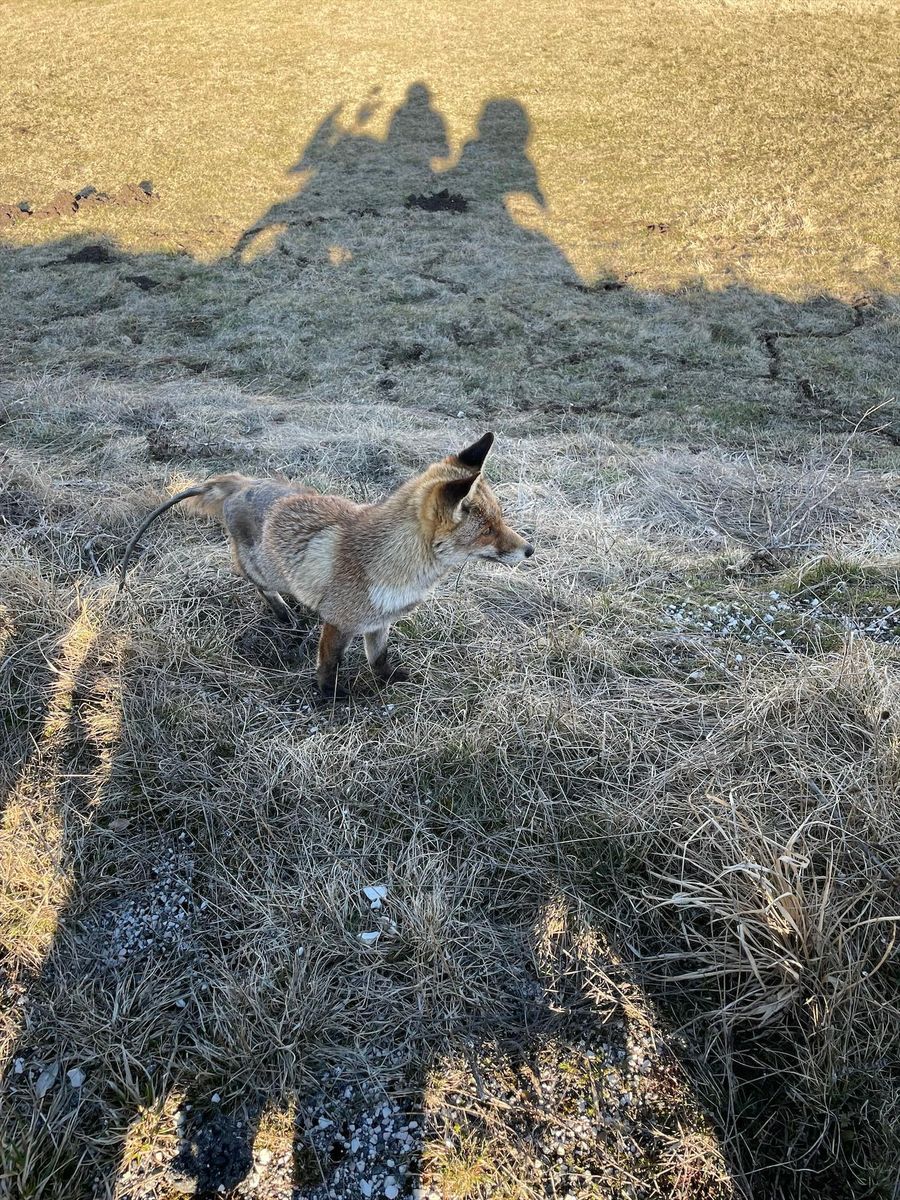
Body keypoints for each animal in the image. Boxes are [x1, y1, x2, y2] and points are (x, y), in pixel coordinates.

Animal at [119, 432, 533, 697]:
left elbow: (378, 659)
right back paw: (283, 612)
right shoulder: (339, 621)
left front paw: (389, 680)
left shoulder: (377, 622)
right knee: (250, 578)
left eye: (501, 520)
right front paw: (330, 698)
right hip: (264, 569)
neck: (397, 568)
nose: (530, 550)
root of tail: (243, 482)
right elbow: (329, 666)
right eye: (488, 531)